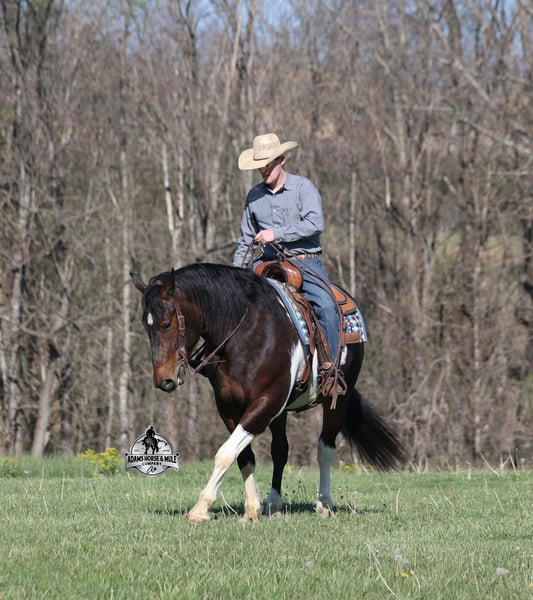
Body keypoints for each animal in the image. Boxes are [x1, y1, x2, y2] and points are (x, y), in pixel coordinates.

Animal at [131, 263, 406, 523]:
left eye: (167, 324)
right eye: (146, 326)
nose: (163, 380)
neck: (245, 335)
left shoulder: (266, 403)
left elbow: (225, 453)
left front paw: (200, 510)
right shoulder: (229, 409)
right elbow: (244, 456)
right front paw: (252, 509)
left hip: (337, 401)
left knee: (325, 449)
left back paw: (324, 504)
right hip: (281, 413)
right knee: (280, 450)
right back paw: (274, 504)